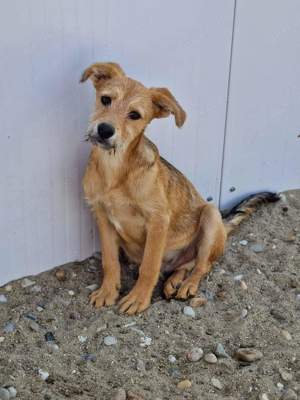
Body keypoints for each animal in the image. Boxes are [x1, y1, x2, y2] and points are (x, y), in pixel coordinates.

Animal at [80, 61, 278, 316]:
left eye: (135, 115)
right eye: (105, 99)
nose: (105, 130)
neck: (115, 170)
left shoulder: (158, 220)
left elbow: (149, 265)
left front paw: (138, 298)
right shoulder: (102, 215)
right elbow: (110, 260)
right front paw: (108, 292)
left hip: (210, 217)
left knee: (203, 265)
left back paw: (187, 286)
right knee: (185, 265)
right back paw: (173, 281)